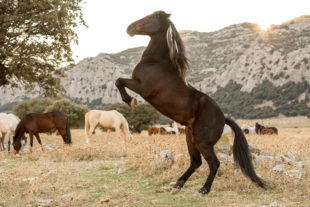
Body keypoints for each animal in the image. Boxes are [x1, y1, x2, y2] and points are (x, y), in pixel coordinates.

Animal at [115, 10, 266, 195]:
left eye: (150, 17)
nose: (129, 28)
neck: (156, 63)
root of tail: (223, 118)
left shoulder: (141, 87)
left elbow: (119, 81)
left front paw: (130, 101)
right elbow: (118, 81)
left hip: (202, 142)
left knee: (214, 163)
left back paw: (203, 189)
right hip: (190, 138)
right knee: (196, 162)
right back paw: (178, 184)